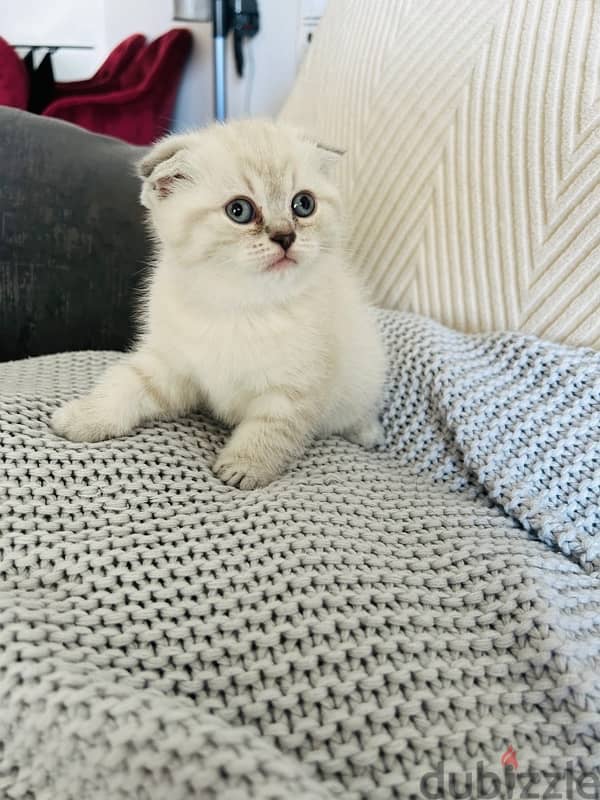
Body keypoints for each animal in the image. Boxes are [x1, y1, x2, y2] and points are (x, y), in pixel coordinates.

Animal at [51, 118, 384, 488]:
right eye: (239, 211)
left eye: (303, 205)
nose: (285, 236)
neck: (238, 303)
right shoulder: (172, 362)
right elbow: (126, 384)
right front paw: (85, 417)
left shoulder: (294, 387)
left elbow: (270, 430)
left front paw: (245, 467)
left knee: (359, 411)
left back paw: (368, 432)